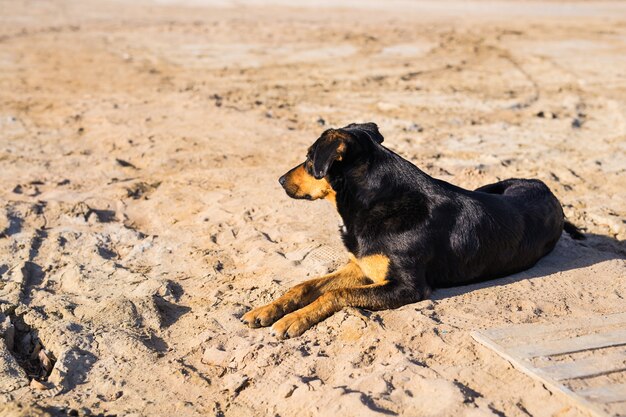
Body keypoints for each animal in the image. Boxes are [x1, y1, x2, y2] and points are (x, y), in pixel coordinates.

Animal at [241, 122, 584, 336]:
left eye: (309, 159)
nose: (280, 180)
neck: (376, 200)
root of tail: (548, 189)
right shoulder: (361, 267)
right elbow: (305, 286)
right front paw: (267, 310)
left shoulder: (406, 287)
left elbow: (337, 293)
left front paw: (294, 320)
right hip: (490, 185)